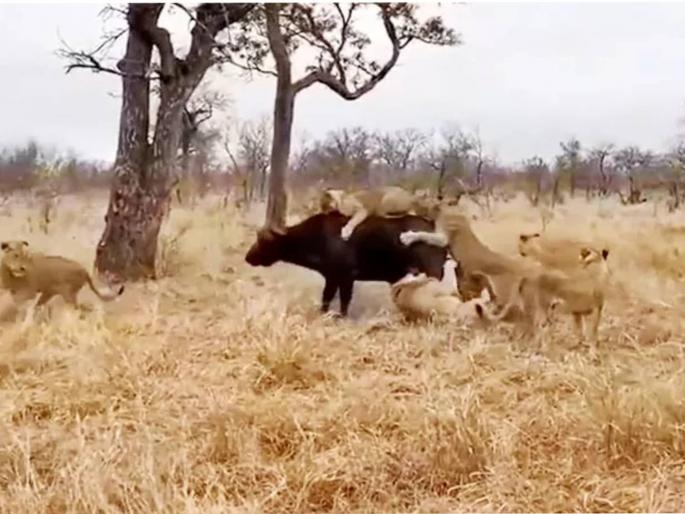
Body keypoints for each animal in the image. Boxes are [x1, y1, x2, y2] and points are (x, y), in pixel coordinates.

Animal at [476, 246, 611, 350]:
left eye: (588, 253)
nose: (583, 252)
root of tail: (525, 277)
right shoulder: (596, 309)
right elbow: (592, 332)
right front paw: (593, 353)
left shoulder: (576, 312)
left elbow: (579, 331)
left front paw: (579, 346)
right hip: (538, 308)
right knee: (532, 328)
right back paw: (537, 348)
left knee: (525, 326)